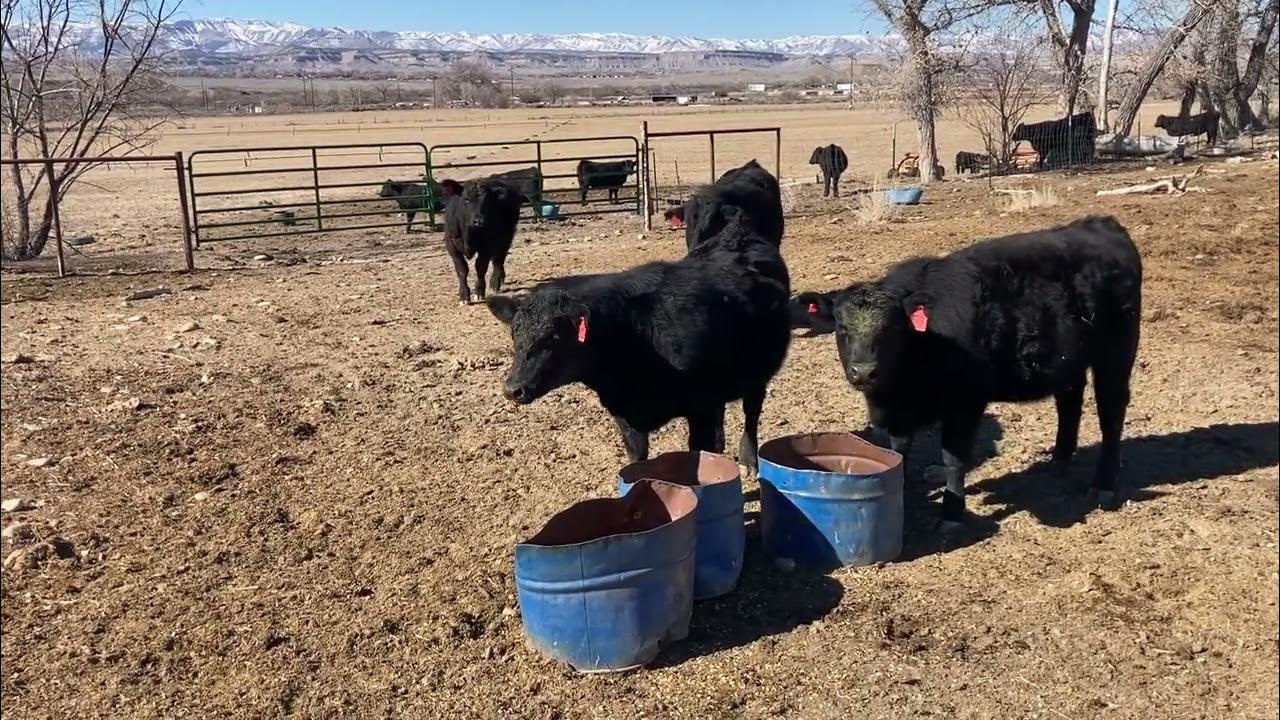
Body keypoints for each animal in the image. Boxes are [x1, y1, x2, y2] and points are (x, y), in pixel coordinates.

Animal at [487, 205, 791, 473]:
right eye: (514, 334)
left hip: (758, 374)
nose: (513, 389)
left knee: (751, 416)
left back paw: (749, 460)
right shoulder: (626, 417)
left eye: (554, 337)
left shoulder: (702, 406)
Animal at [793, 216, 1142, 528]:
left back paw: (1104, 485)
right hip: (1069, 361)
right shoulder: (898, 415)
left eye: (892, 328)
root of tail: (1102, 224)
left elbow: (953, 458)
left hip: (1116, 355)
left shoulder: (965, 403)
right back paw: (1059, 461)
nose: (865, 372)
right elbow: (898, 452)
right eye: (842, 328)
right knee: (1069, 402)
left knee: (1111, 411)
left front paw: (951, 513)